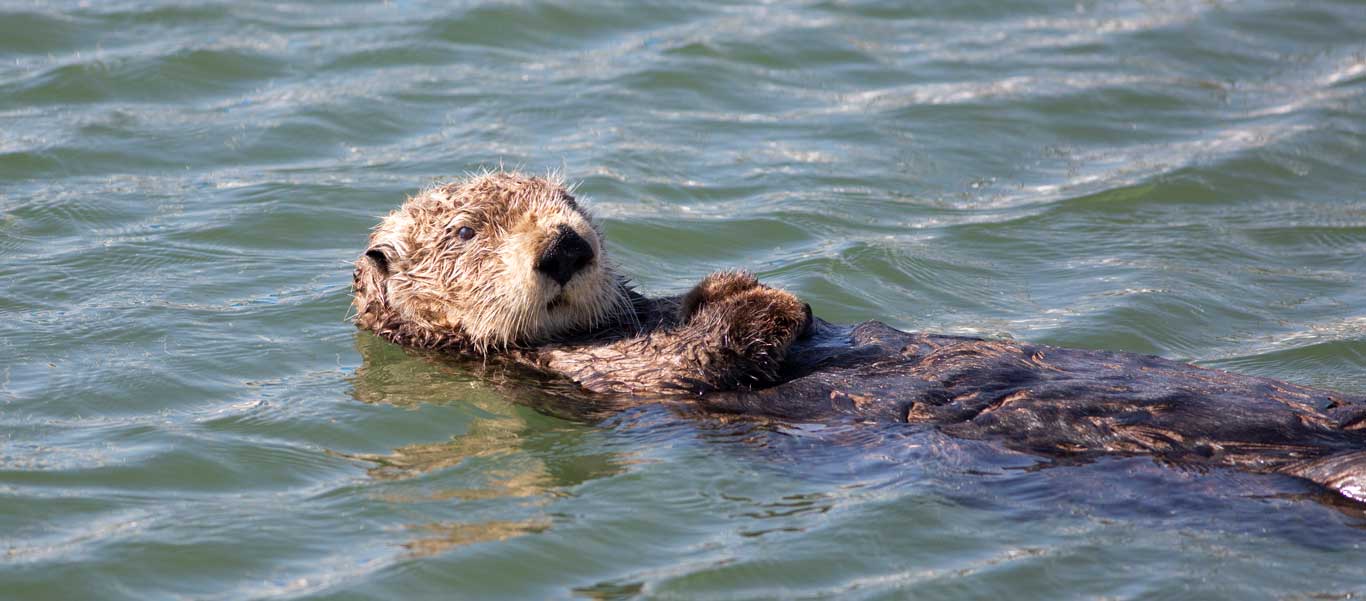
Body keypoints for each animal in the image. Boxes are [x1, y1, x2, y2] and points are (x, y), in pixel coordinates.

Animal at [352, 171, 1366, 504]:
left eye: (573, 203)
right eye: (466, 231)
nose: (566, 244)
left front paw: (737, 280)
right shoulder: (612, 375)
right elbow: (723, 347)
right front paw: (769, 303)